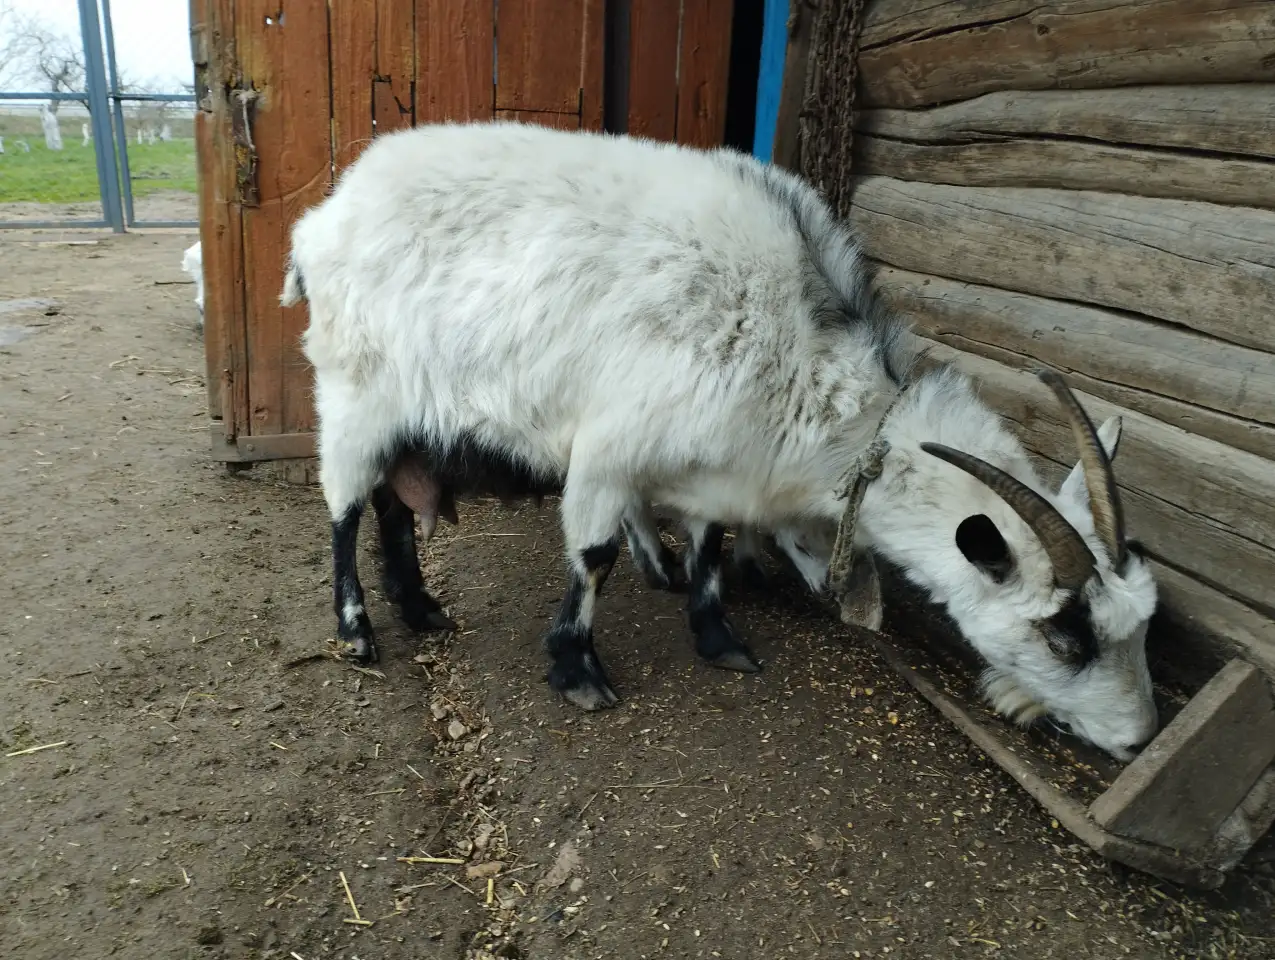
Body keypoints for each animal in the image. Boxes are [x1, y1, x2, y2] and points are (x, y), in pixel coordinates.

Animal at [282, 121, 1158, 760]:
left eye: (1139, 623)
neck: (802, 345)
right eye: (1065, 633)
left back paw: (420, 607)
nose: (1137, 739)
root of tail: (324, 216)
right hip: (354, 390)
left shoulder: (713, 466)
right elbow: (592, 557)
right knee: (345, 508)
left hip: (413, 414)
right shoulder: (610, 448)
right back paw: (357, 630)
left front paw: (718, 638)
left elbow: (707, 548)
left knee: (396, 506)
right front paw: (576, 669)